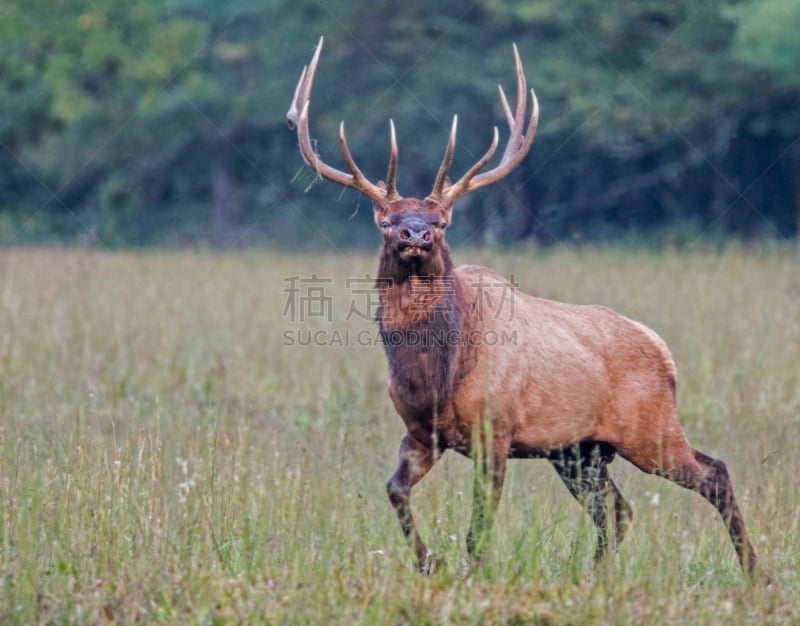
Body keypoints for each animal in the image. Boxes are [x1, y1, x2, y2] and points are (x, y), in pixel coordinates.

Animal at [286, 37, 756, 576]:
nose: (416, 235)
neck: (436, 374)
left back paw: (754, 573)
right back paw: (592, 574)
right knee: (619, 509)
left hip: (649, 427)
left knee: (712, 474)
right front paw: (430, 563)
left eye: (441, 221)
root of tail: (663, 352)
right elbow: (395, 492)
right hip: (579, 451)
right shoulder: (421, 432)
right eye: (386, 222)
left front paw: (468, 574)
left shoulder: (496, 430)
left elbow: (477, 530)